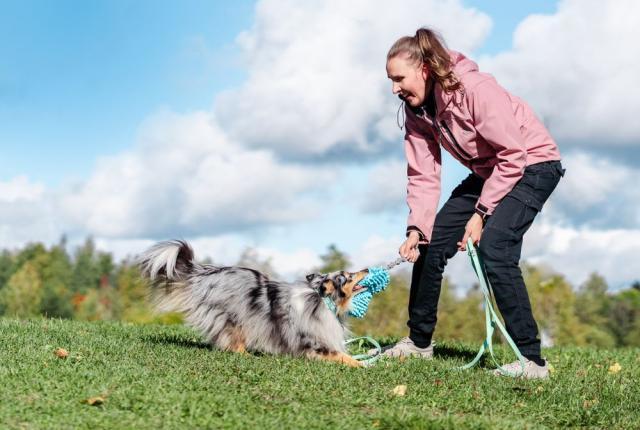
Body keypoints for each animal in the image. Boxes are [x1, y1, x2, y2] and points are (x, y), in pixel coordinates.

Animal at [140, 240, 370, 368]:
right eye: (348, 276)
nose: (367, 268)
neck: (323, 302)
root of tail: (205, 273)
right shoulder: (316, 343)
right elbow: (344, 357)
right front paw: (364, 365)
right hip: (234, 317)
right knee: (234, 344)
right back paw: (250, 356)